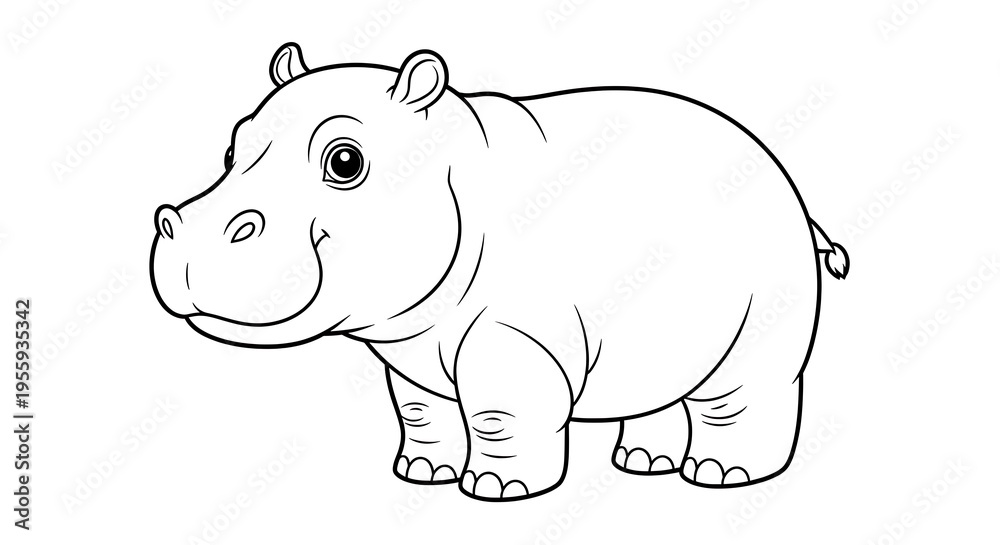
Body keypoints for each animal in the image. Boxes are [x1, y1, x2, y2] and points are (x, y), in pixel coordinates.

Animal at [150, 43, 849, 501]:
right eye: (232, 148)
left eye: (345, 162)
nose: (177, 225)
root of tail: (786, 175)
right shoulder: (409, 351)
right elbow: (422, 413)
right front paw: (421, 476)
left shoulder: (515, 341)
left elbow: (499, 414)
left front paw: (496, 488)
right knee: (657, 385)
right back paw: (641, 463)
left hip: (763, 315)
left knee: (743, 393)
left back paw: (723, 477)